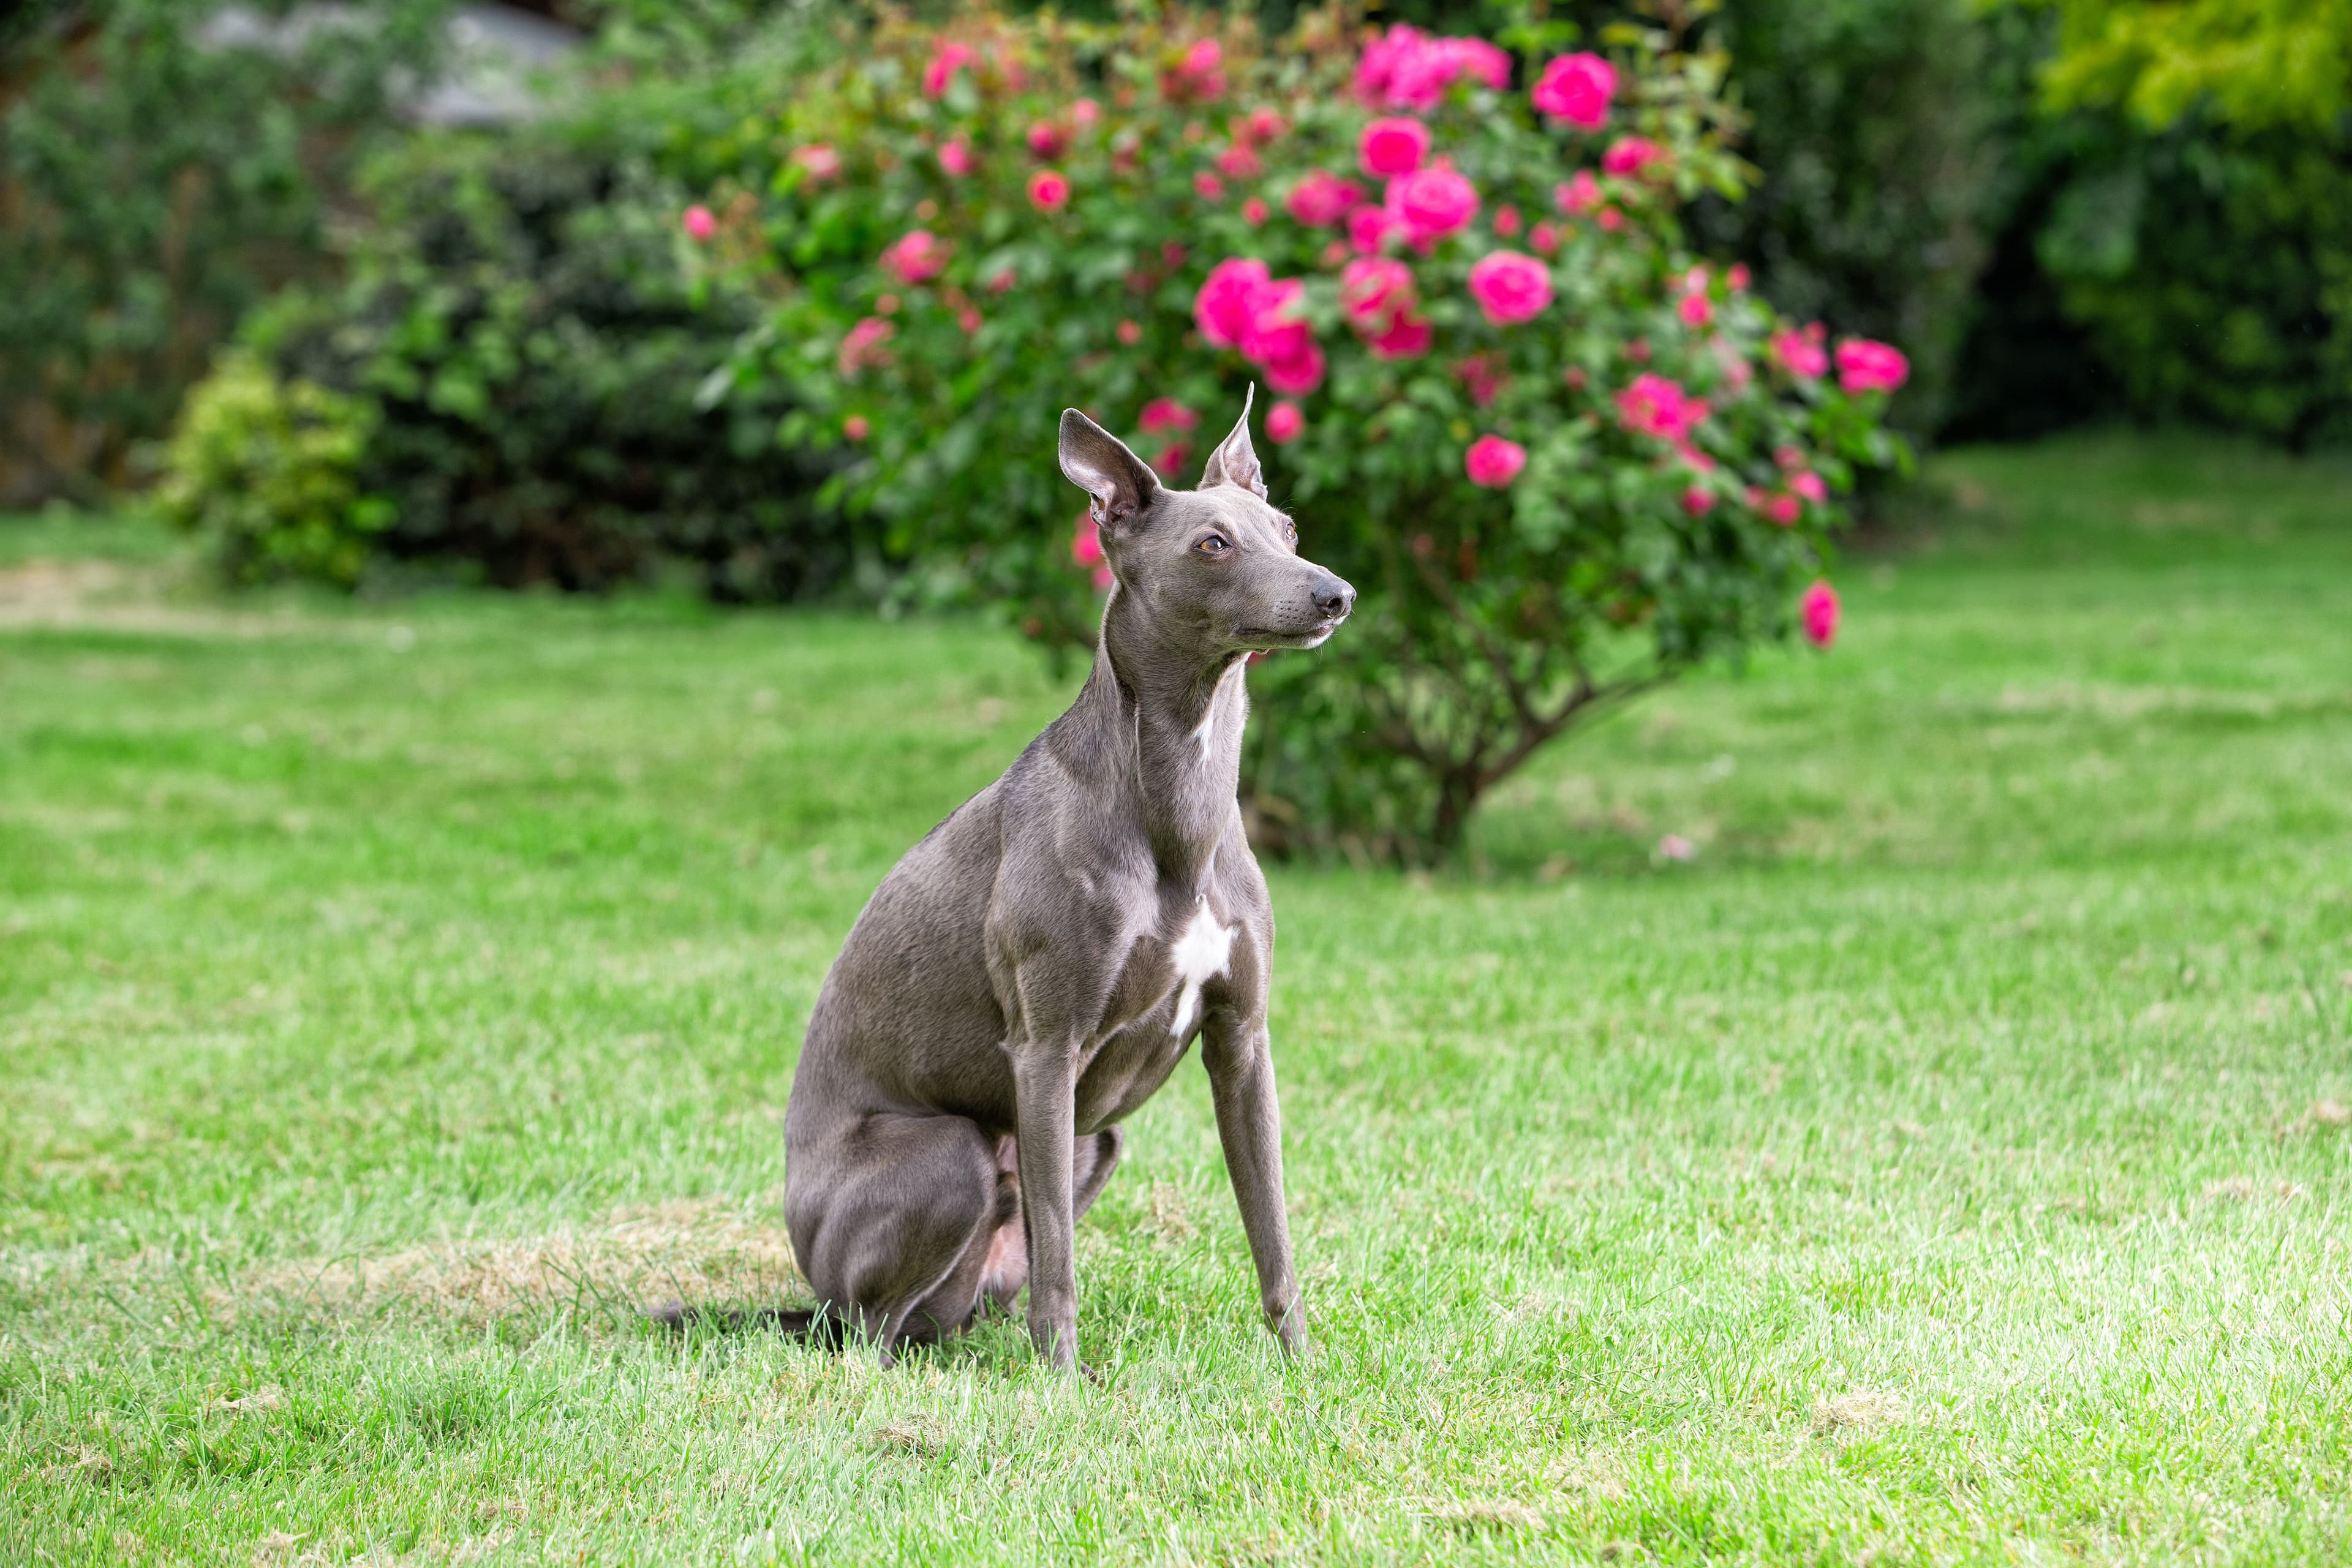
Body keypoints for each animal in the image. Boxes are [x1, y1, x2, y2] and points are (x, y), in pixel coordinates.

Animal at [776, 394, 1354, 1373]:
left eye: (1287, 528)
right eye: (1212, 544)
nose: (1334, 594)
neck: (1175, 810)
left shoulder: (1244, 1042)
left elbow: (1271, 1229)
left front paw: (1303, 1365)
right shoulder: (1047, 1051)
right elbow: (1060, 1261)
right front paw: (1063, 1383)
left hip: (1098, 1143)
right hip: (953, 1155)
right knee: (869, 1331)